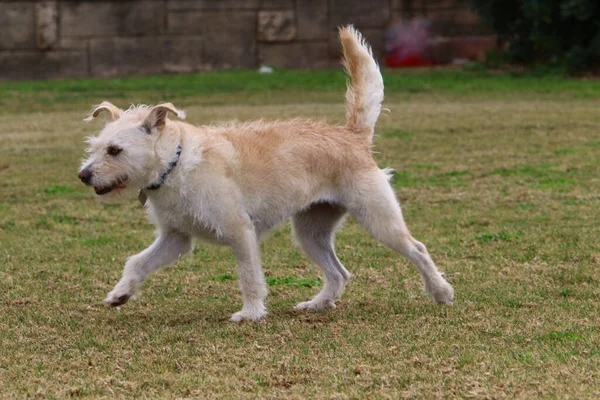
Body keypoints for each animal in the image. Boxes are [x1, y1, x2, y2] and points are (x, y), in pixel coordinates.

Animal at [79, 26, 454, 322]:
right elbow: (136, 262)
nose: (83, 175)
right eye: (94, 147)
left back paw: (440, 292)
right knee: (338, 273)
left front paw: (251, 313)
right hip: (311, 231)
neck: (177, 164)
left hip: (378, 218)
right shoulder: (175, 238)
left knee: (417, 249)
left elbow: (249, 276)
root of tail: (351, 135)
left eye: (115, 151)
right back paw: (319, 303)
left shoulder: (239, 231)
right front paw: (121, 293)